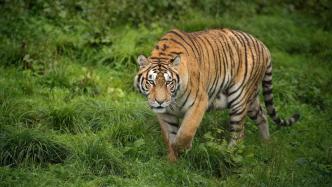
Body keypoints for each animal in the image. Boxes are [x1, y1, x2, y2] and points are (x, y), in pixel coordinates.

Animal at [134, 28, 300, 161]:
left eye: (169, 83)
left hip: (239, 98)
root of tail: (263, 45)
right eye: (151, 82)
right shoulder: (165, 114)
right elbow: (169, 136)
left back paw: (229, 155)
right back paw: (266, 143)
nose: (160, 101)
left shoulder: (199, 102)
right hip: (251, 99)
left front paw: (182, 149)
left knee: (239, 134)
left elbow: (185, 131)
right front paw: (172, 161)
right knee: (263, 115)